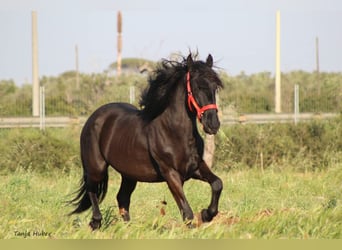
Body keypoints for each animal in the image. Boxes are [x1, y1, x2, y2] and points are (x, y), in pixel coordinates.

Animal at [69, 53, 224, 229]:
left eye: (215, 87)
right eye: (198, 86)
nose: (213, 125)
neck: (174, 132)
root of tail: (93, 118)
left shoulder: (196, 167)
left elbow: (217, 184)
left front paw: (207, 214)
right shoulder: (171, 173)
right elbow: (187, 212)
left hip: (129, 174)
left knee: (122, 197)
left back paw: (128, 229)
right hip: (97, 167)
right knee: (92, 188)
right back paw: (96, 222)